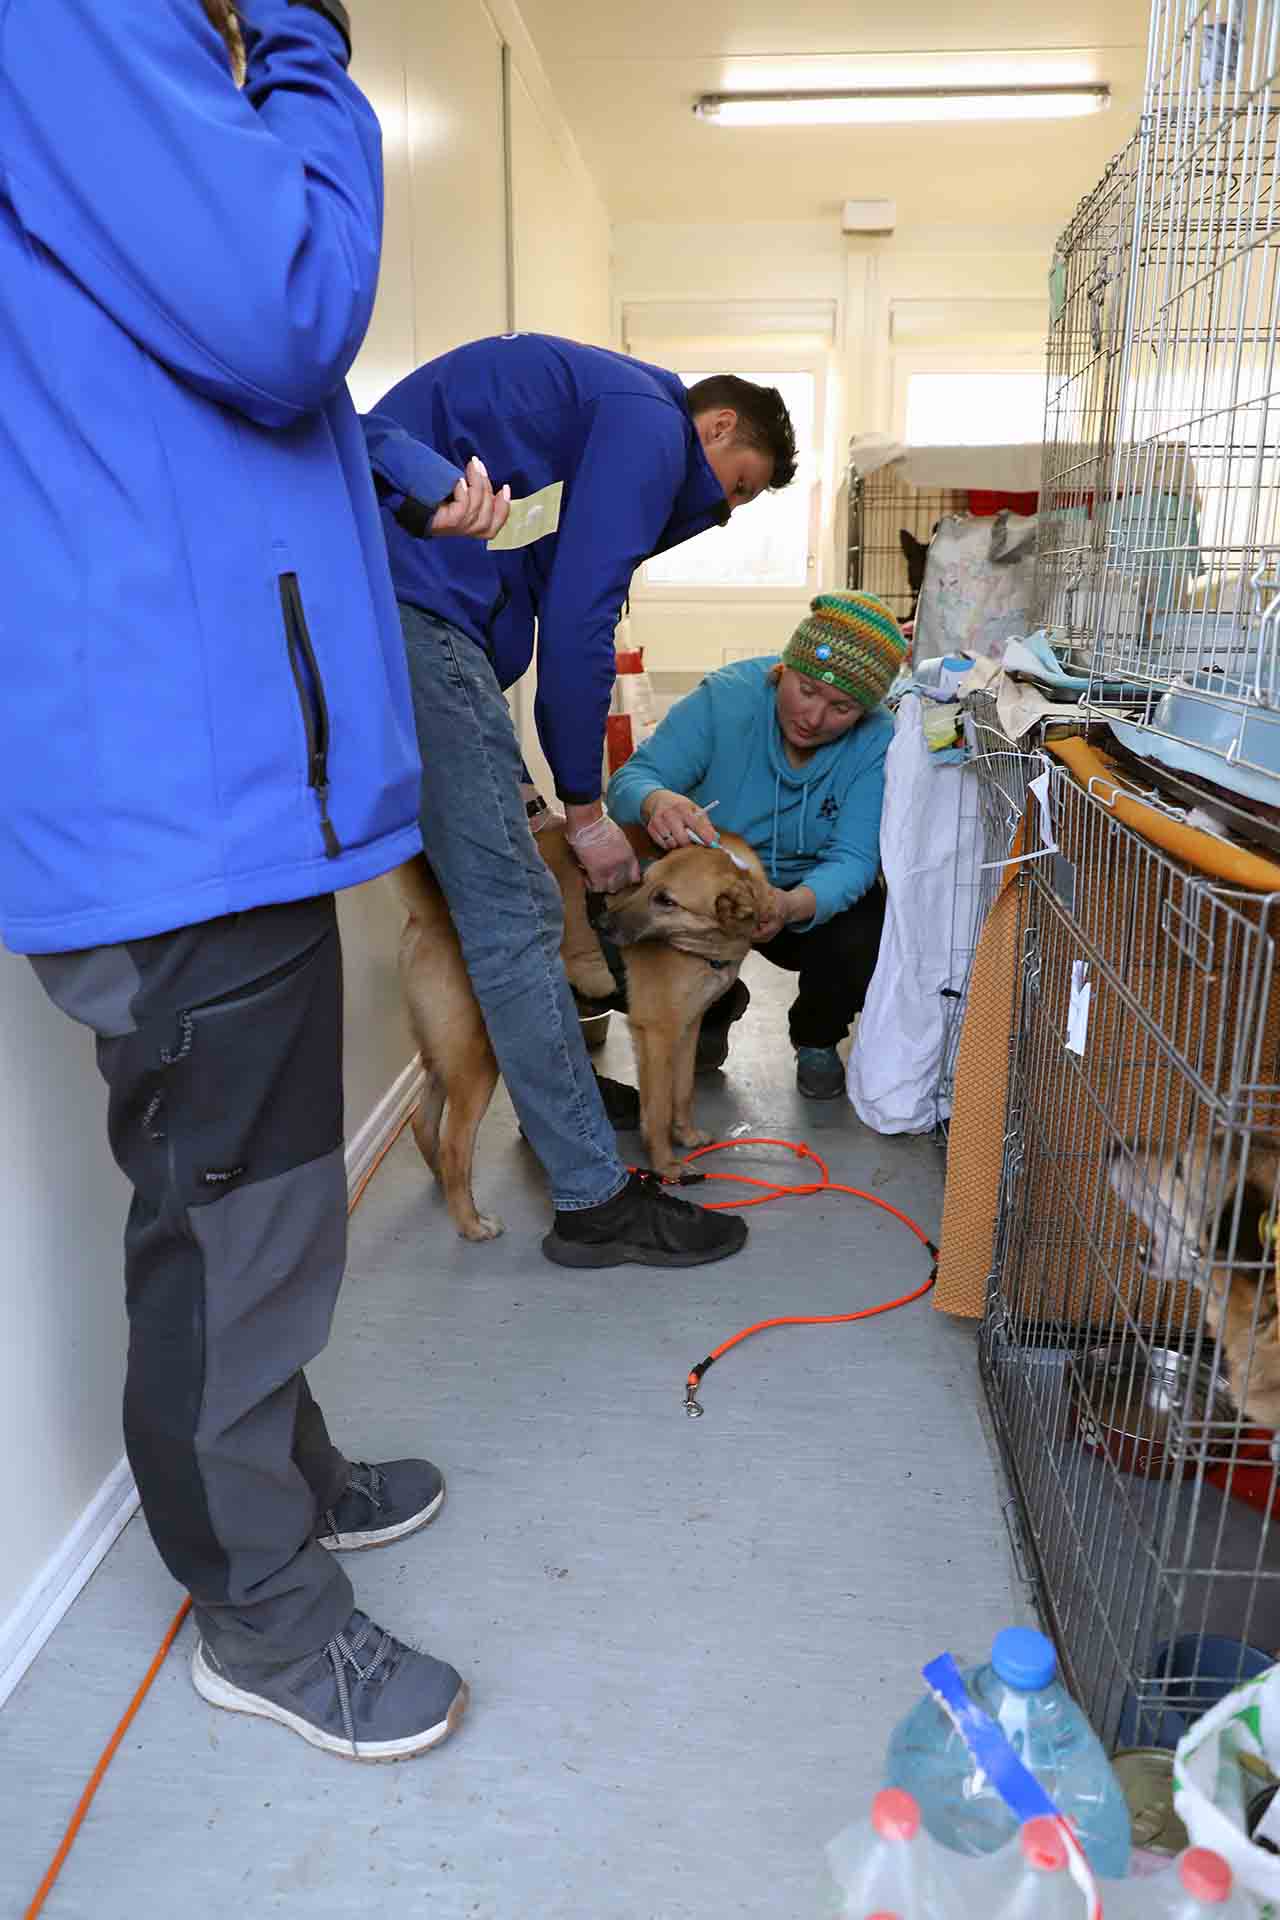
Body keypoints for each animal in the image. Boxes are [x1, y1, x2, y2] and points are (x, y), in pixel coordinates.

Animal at [395, 817, 767, 1236]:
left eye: (666, 900)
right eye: (644, 881)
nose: (601, 924)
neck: (710, 941)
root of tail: (429, 911)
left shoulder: (687, 1026)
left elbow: (683, 1092)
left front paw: (685, 1135)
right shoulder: (656, 1032)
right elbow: (656, 1111)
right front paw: (666, 1164)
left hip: (447, 1052)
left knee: (422, 1122)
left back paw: (443, 1185)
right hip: (478, 1057)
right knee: (453, 1145)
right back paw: (471, 1223)